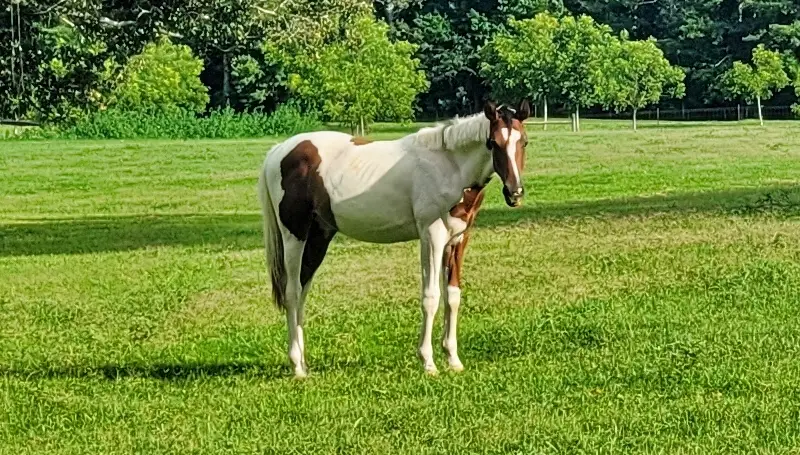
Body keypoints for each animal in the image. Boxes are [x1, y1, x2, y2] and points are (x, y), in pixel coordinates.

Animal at [260, 100, 528, 378]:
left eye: (524, 142)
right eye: (493, 142)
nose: (515, 193)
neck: (449, 166)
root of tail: (279, 151)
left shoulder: (457, 240)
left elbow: (453, 296)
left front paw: (453, 359)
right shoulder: (431, 236)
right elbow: (431, 297)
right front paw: (428, 362)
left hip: (318, 239)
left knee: (302, 291)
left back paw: (303, 362)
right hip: (295, 236)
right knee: (292, 293)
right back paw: (296, 366)